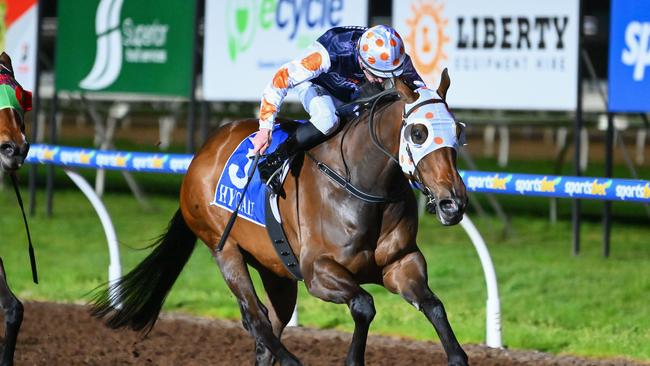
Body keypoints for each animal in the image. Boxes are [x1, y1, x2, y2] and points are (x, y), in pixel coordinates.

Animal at [90, 72, 466, 366]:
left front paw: (456, 355)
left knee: (269, 325)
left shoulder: (401, 263)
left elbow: (434, 306)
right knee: (255, 318)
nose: (453, 203)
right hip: (223, 249)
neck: (362, 183)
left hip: (276, 269)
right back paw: (291, 359)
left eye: (458, 131)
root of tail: (202, 152)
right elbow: (363, 304)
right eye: (418, 133)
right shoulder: (318, 272)